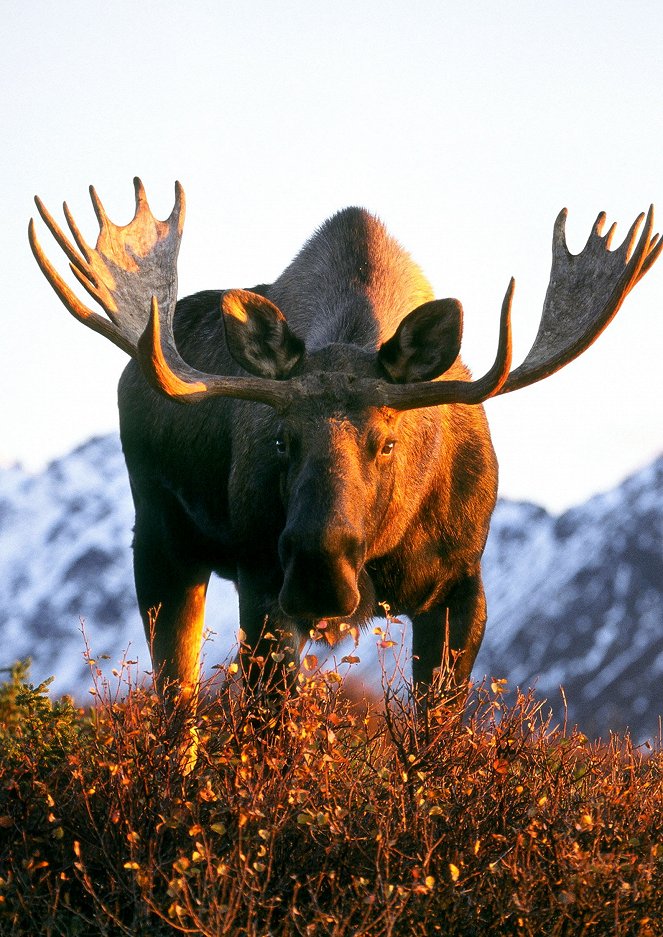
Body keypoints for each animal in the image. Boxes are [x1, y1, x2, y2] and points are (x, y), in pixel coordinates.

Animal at [29, 181, 660, 708]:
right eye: (281, 440)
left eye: (387, 442)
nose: (319, 569)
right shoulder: (262, 583)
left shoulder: (463, 583)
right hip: (162, 542)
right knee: (175, 701)